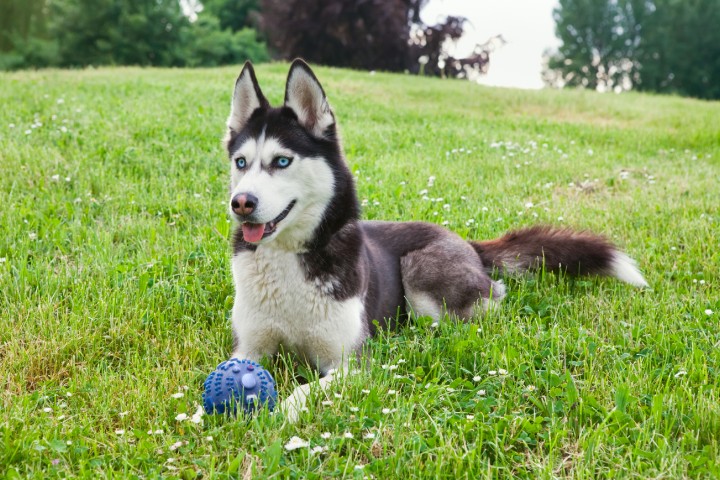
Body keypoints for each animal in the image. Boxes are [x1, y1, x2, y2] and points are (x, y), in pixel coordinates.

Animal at [221, 59, 648, 420]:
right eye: (241, 163)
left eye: (282, 161)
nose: (241, 202)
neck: (288, 258)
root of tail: (465, 241)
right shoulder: (248, 347)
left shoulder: (350, 363)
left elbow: (304, 391)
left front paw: (278, 414)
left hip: (421, 272)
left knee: (491, 297)